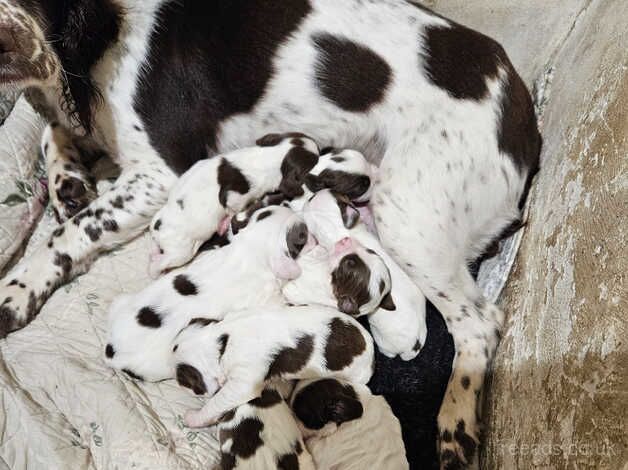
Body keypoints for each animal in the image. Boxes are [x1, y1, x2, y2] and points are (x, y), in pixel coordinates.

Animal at [108, 206, 316, 382]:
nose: (314, 237)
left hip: (121, 301)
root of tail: (111, 354)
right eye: (303, 235)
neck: (249, 249)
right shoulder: (267, 299)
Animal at [148, 131, 318, 280]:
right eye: (316, 159)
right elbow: (232, 208)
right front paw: (226, 222)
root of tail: (156, 228)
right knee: (161, 262)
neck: (270, 156)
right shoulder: (236, 196)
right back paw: (156, 271)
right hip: (180, 252)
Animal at [170, 304, 372, 430]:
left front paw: (194, 417)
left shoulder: (243, 382)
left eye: (183, 381)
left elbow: (216, 402)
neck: (222, 339)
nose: (178, 384)